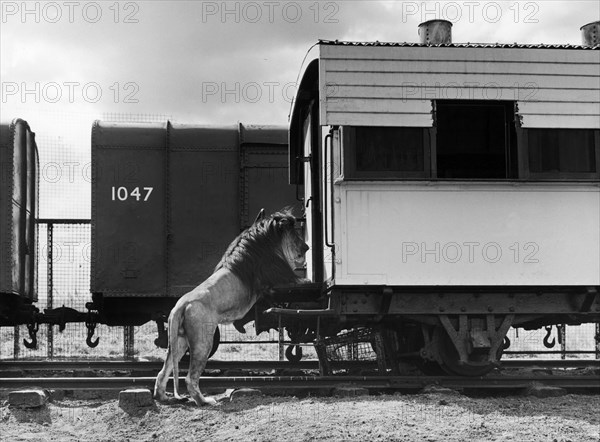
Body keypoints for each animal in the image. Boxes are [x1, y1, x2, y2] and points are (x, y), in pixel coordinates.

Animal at [155, 209, 310, 406]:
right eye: (295, 234)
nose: (307, 247)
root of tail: (181, 304)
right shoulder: (280, 279)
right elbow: (305, 281)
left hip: (180, 340)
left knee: (163, 371)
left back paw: (163, 398)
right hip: (203, 340)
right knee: (190, 378)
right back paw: (205, 401)